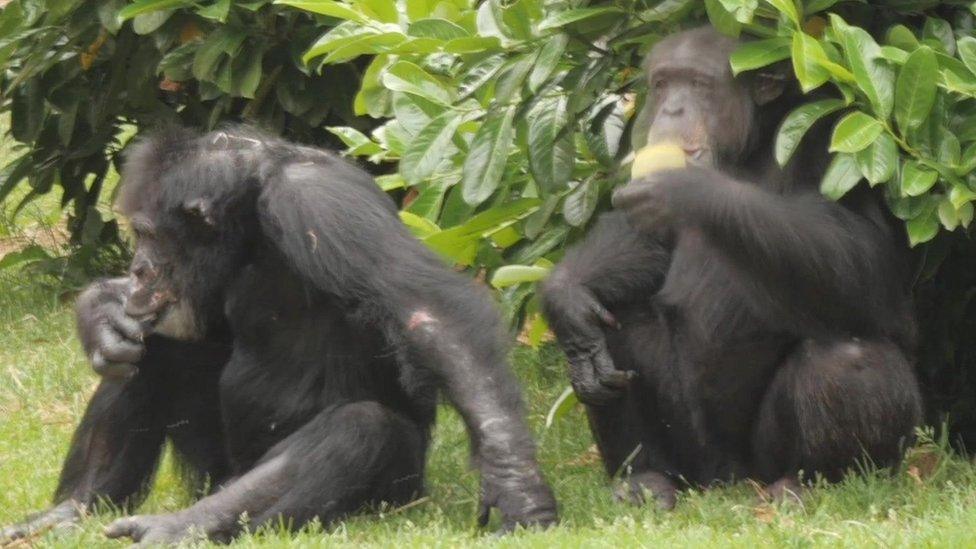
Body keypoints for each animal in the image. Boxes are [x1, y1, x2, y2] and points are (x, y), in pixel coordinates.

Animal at [1, 126, 556, 540]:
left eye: (148, 234)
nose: (137, 269)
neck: (253, 214)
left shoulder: (320, 203)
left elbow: (427, 312)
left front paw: (516, 484)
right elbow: (178, 333)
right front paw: (102, 313)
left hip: (393, 493)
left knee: (361, 428)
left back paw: (181, 525)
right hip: (212, 468)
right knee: (149, 354)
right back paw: (75, 509)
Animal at [540, 24, 924, 506]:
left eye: (699, 84)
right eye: (663, 83)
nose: (673, 107)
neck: (749, 149)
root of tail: (725, 482)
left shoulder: (840, 141)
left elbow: (865, 253)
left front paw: (687, 190)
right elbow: (644, 240)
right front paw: (567, 295)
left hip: (762, 459)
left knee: (850, 360)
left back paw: (804, 486)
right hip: (689, 456)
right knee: (615, 317)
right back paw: (644, 477)